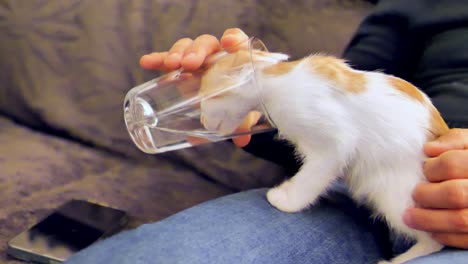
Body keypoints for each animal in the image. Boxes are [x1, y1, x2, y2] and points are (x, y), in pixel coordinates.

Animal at [198, 48, 450, 262]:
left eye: (202, 100)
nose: (201, 120)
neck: (277, 82)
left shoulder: (335, 145)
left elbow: (311, 178)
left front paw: (286, 200)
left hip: (396, 195)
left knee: (434, 241)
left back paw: (397, 260)